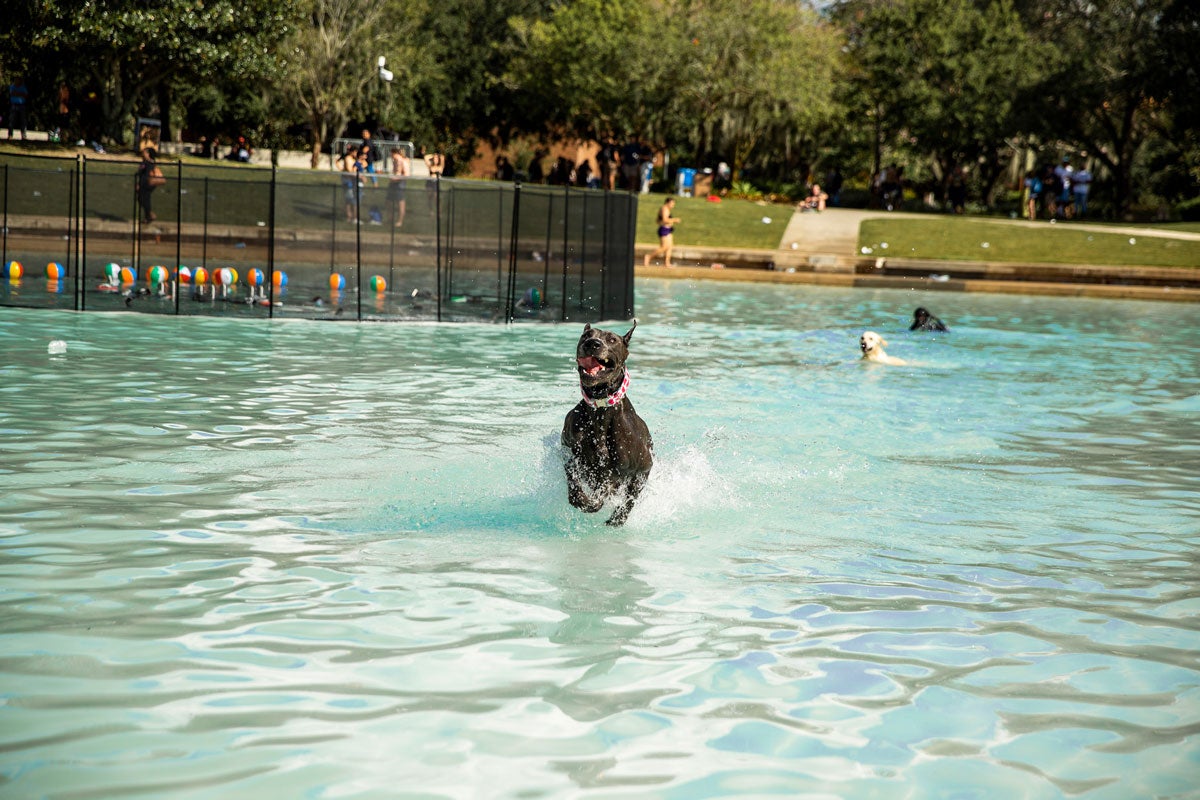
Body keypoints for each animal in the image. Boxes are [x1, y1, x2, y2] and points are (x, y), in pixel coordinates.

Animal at [559, 319, 652, 525]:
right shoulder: (569, 450)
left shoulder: (644, 467)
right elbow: (573, 474)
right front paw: (582, 500)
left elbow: (621, 494)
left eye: (612, 340)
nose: (592, 344)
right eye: (586, 335)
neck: (600, 410)